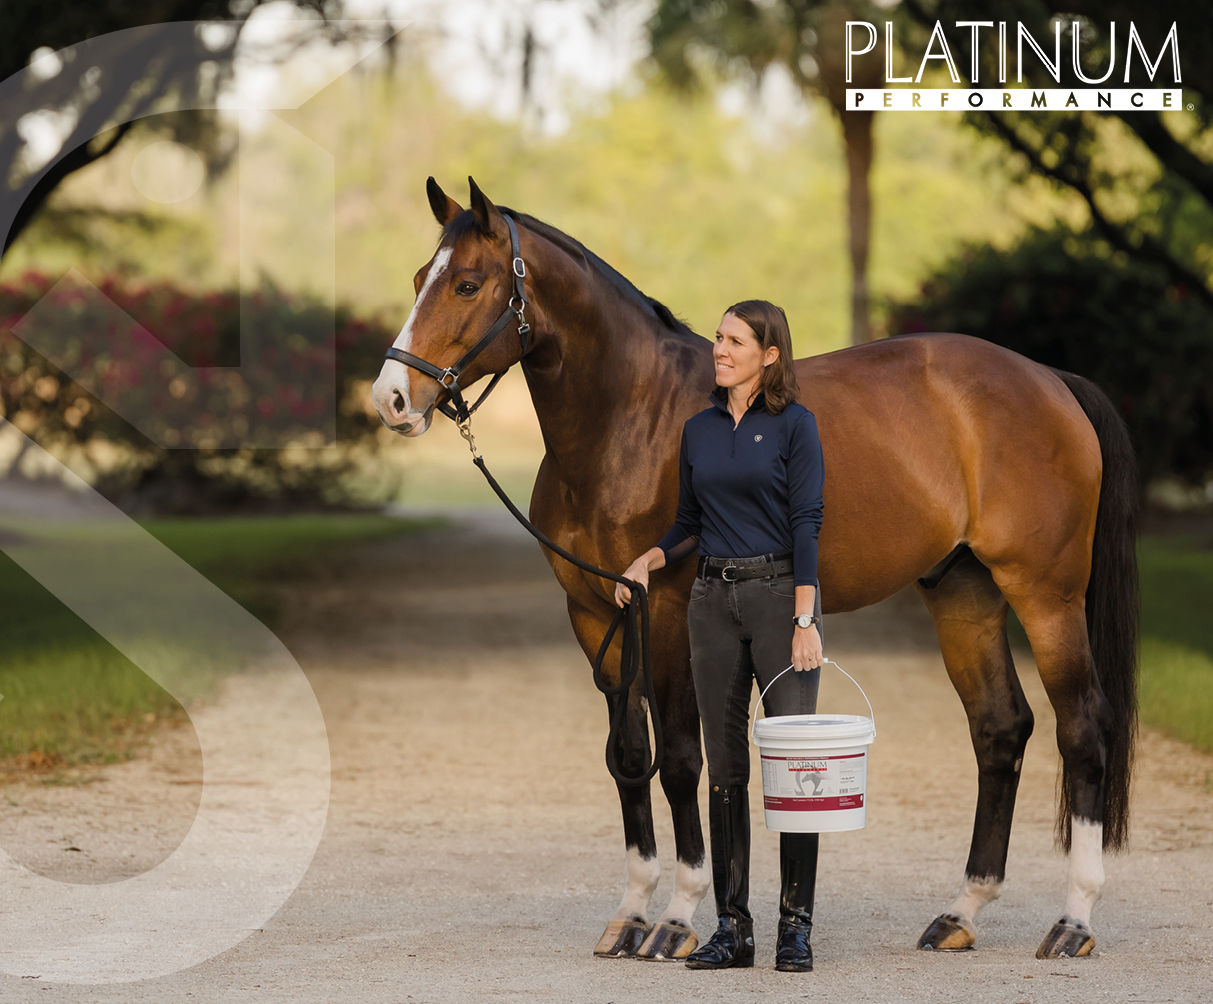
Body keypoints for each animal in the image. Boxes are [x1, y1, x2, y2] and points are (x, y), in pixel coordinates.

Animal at [368, 177, 1135, 960]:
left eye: (466, 283)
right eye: (419, 278)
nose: (391, 399)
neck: (631, 420)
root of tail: (1048, 378)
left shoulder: (666, 612)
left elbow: (681, 758)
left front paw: (677, 918)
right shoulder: (597, 615)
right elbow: (629, 756)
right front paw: (631, 911)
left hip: (1045, 594)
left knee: (1082, 727)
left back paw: (1073, 922)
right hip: (962, 591)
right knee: (1000, 728)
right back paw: (962, 913)